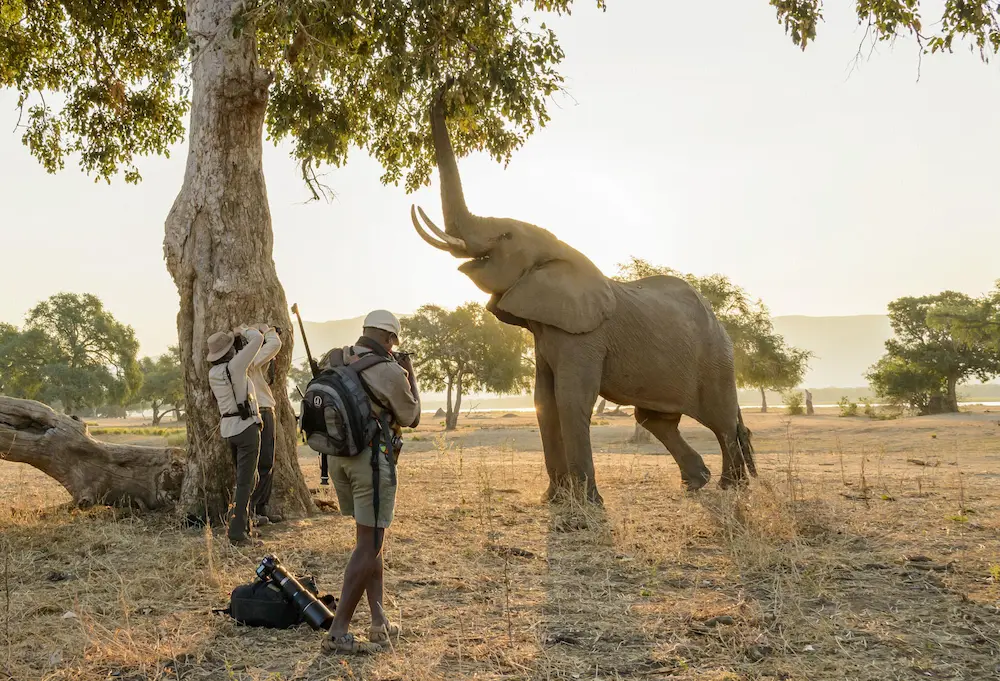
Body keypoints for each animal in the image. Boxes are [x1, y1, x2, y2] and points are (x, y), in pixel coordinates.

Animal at [409, 85, 756, 503]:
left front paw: (587, 502)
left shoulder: (586, 335)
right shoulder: (547, 333)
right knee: (656, 420)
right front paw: (555, 500)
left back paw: (730, 487)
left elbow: (571, 399)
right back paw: (697, 482)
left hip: (717, 359)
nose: (447, 86)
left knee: (720, 421)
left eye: (506, 235)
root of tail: (721, 324)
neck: (558, 251)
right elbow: (544, 400)